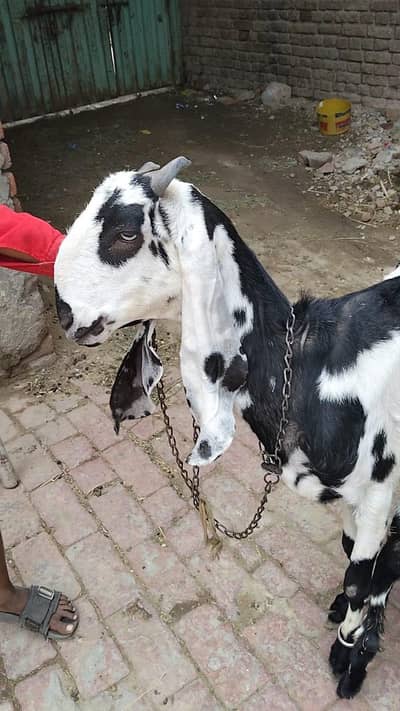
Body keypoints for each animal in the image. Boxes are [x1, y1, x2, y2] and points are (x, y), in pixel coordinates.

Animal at [54, 157, 400, 698]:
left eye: (127, 232)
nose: (62, 310)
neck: (310, 366)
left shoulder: (381, 487)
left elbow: (361, 576)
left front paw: (352, 660)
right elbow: (363, 561)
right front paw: (352, 633)